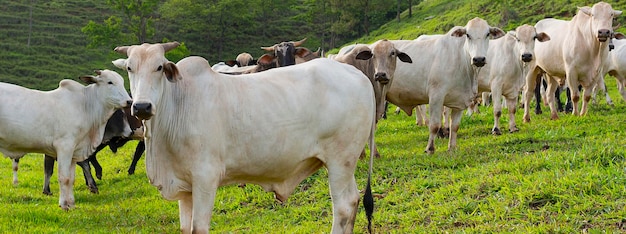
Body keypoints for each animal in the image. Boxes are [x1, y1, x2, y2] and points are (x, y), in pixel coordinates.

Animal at [0, 70, 130, 210]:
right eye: (110, 82)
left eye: (122, 82)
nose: (129, 101)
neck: (86, 106)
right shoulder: (64, 147)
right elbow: (64, 177)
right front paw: (63, 204)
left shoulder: (74, 152)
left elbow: (71, 179)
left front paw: (71, 203)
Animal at [112, 42, 376, 234]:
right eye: (129, 68)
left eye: (159, 67)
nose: (142, 106)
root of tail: (358, 75)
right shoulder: (184, 187)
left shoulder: (206, 178)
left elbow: (199, 228)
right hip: (345, 163)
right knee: (353, 201)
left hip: (340, 160)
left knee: (343, 206)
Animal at [382, 17, 504, 154]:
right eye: (468, 35)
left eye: (487, 34)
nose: (478, 59)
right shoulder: (436, 96)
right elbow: (434, 125)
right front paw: (430, 148)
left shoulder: (460, 100)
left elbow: (455, 126)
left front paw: (452, 147)